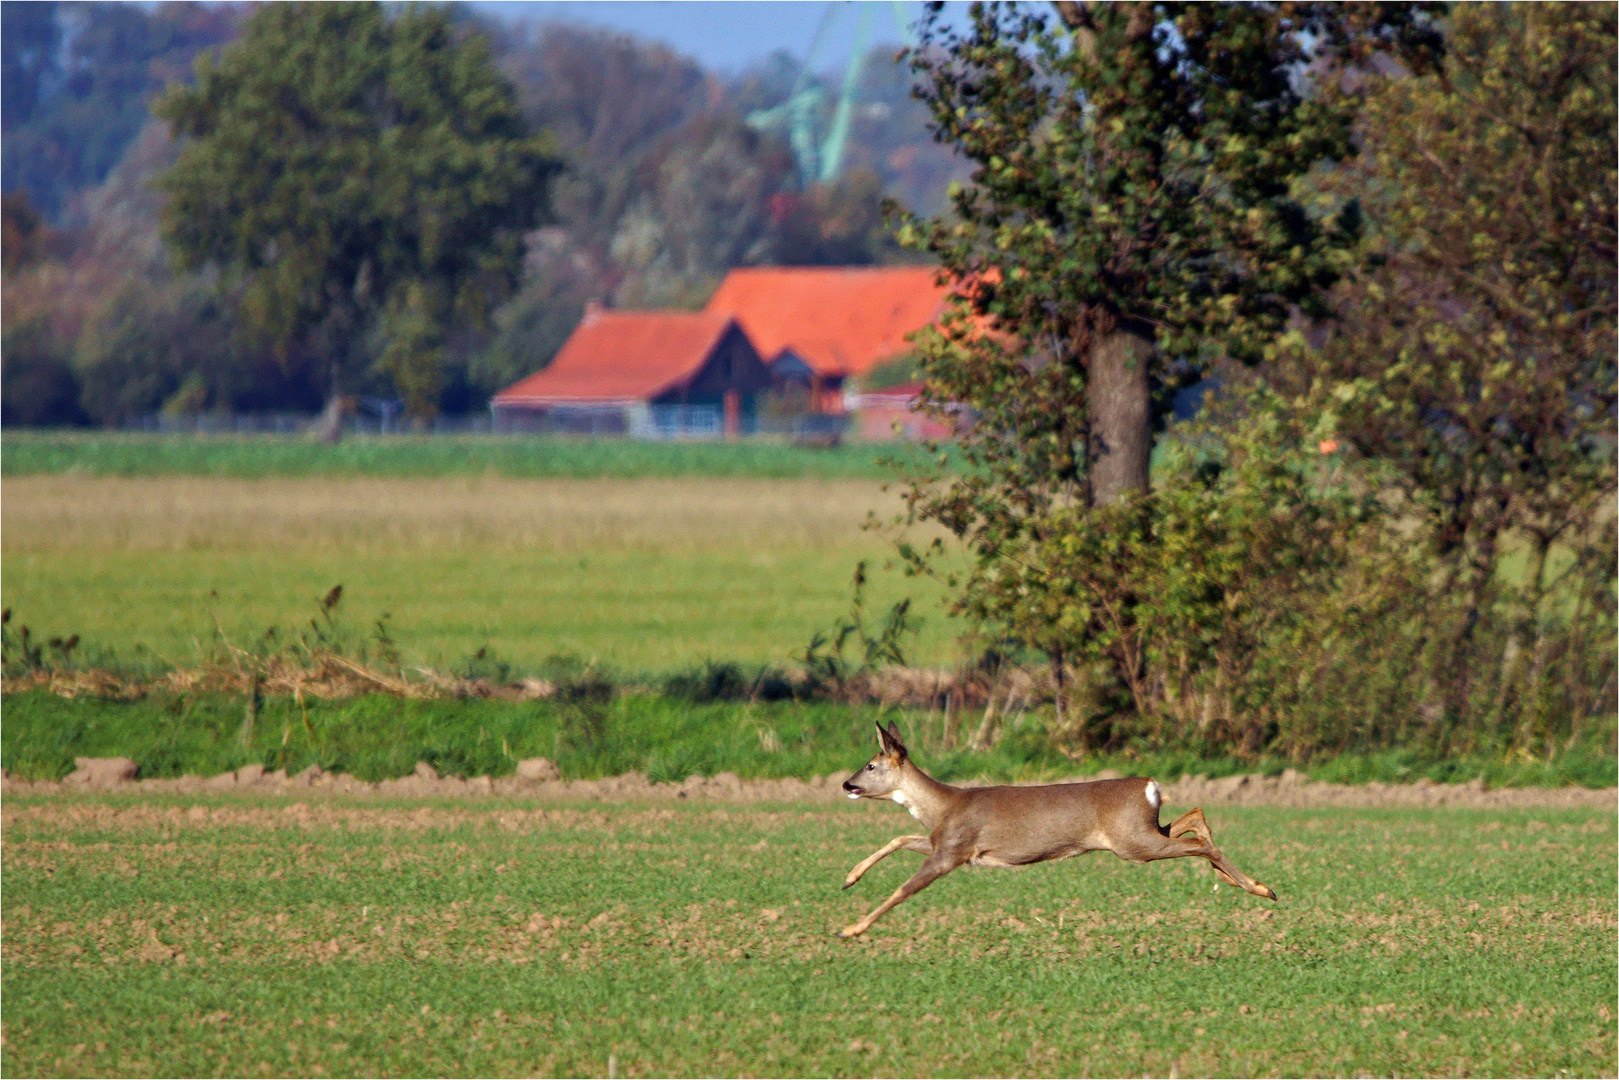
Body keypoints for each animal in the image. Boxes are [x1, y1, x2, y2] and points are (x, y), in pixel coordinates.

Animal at [835, 722, 1275, 939]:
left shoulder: (951, 851)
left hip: (1131, 842)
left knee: (1201, 842)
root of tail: (1150, 785)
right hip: (1141, 832)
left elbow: (902, 890)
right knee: (1196, 821)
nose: (846, 784)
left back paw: (1261, 888)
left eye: (871, 765)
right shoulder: (945, 844)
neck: (943, 807)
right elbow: (897, 838)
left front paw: (851, 929)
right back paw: (1247, 883)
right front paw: (849, 878)